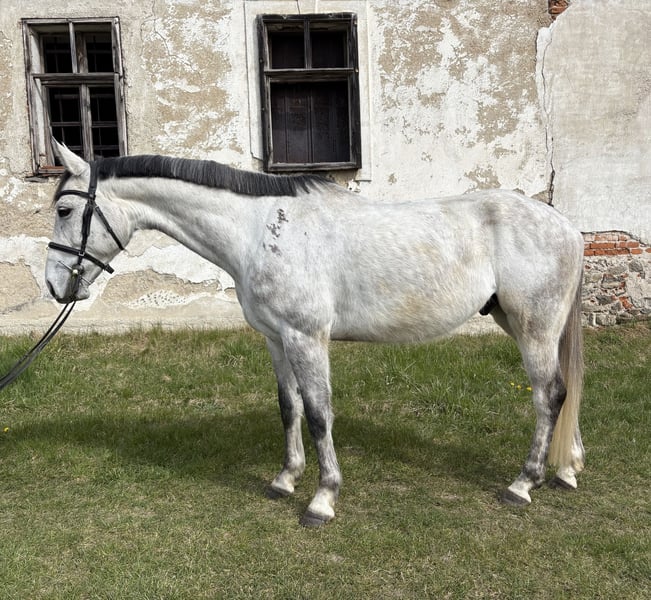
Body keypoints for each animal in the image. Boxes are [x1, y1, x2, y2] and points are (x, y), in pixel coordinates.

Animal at [45, 140, 585, 527]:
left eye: (65, 211)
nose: (53, 285)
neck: (260, 230)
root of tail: (566, 226)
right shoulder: (275, 338)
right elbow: (291, 408)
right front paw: (286, 479)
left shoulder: (306, 337)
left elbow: (321, 414)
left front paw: (322, 500)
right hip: (520, 322)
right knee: (563, 393)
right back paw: (566, 470)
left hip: (534, 326)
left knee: (549, 394)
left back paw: (523, 484)